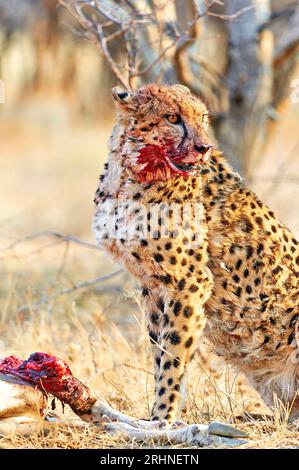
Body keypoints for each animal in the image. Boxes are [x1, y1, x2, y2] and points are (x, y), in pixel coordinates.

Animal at [92, 83, 298, 426]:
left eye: (201, 117)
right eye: (172, 118)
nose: (204, 147)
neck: (131, 172)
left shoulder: (190, 282)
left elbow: (173, 357)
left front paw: (162, 421)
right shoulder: (153, 287)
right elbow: (159, 352)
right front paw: (158, 419)